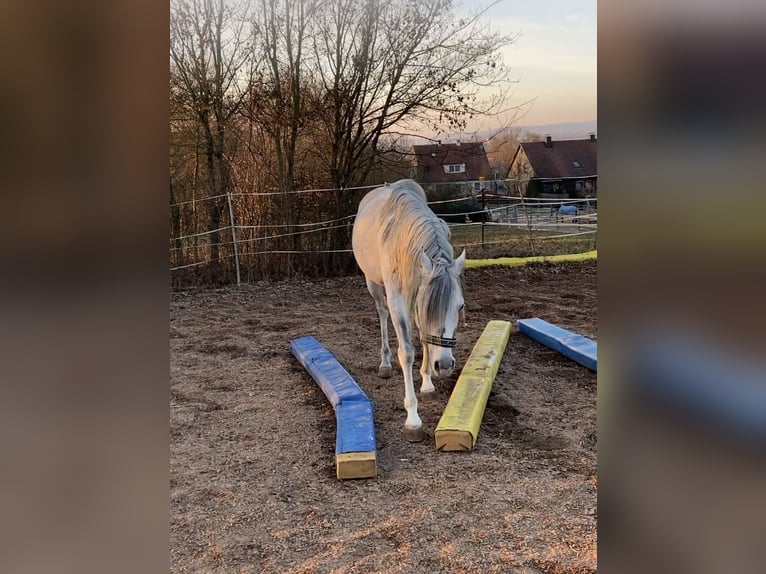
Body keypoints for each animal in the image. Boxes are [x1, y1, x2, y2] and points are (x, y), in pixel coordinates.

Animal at [352, 179, 466, 442]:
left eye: (461, 306)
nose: (445, 365)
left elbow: (425, 339)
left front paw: (427, 383)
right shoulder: (399, 299)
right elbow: (406, 352)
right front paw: (413, 419)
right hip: (374, 285)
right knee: (382, 314)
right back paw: (384, 363)